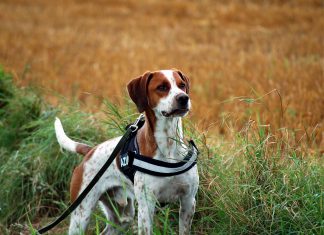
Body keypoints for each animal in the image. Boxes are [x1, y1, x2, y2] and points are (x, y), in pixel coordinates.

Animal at [54, 69, 199, 234]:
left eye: (182, 85)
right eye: (162, 87)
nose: (184, 98)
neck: (168, 146)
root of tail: (91, 150)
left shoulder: (188, 201)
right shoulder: (146, 207)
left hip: (123, 216)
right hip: (81, 214)